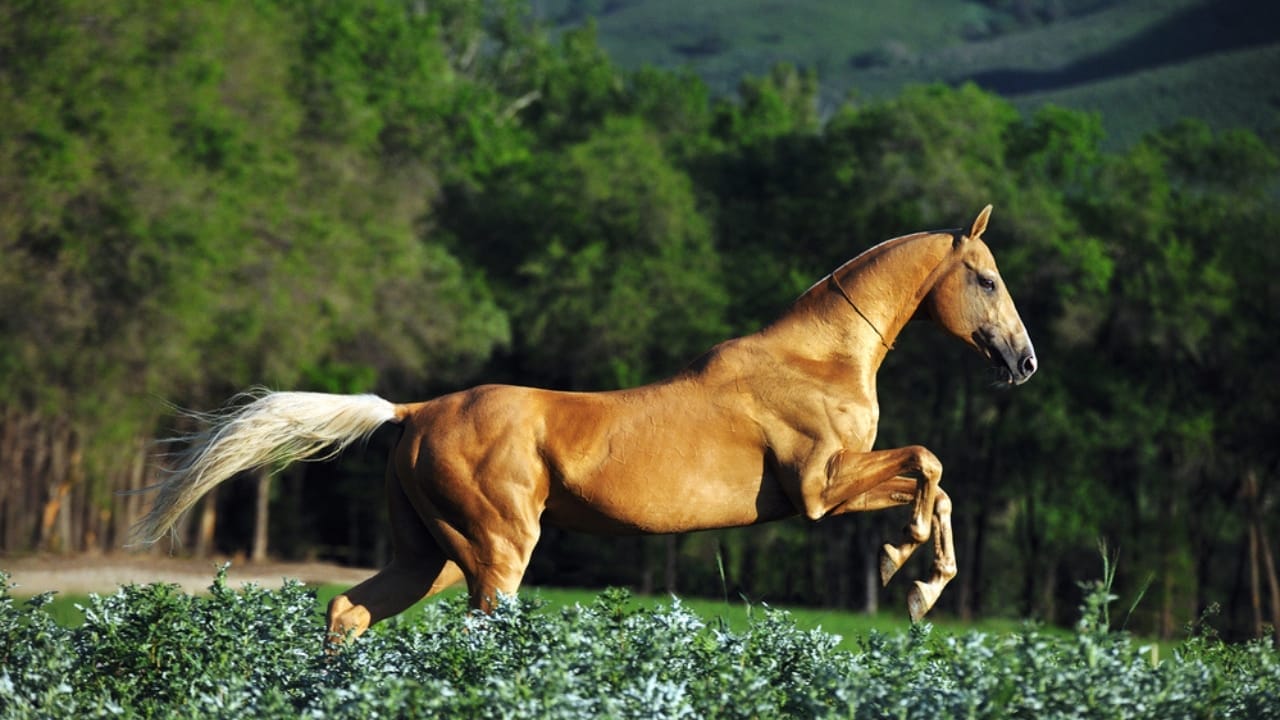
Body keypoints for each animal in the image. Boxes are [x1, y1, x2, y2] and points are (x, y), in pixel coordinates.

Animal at [135, 205, 1036, 643]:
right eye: (987, 280)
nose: (1023, 361)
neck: (818, 360)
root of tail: (414, 413)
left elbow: (936, 479)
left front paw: (918, 584)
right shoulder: (819, 490)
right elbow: (930, 466)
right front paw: (906, 568)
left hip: (428, 555)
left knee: (348, 613)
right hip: (495, 553)